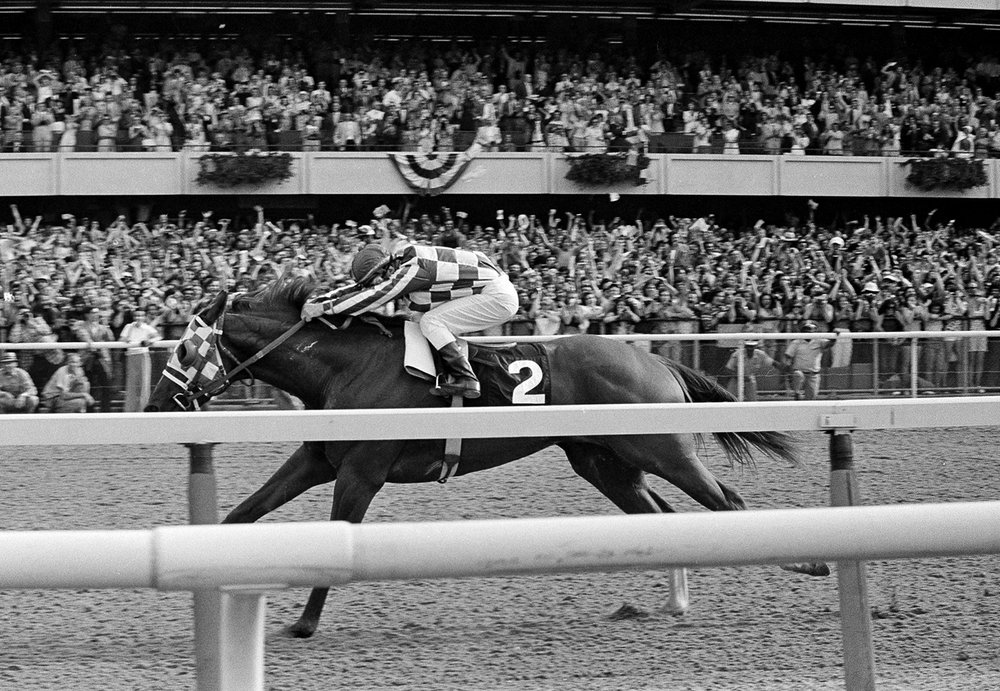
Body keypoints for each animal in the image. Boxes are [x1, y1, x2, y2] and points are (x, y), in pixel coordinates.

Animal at [143, 278, 828, 636]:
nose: (154, 405)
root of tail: (654, 358)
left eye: (185, 348)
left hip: (662, 451)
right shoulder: (319, 457)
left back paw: (811, 562)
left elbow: (339, 538)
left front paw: (303, 624)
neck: (343, 367)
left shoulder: (361, 471)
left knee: (724, 500)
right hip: (602, 462)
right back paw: (669, 603)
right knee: (662, 519)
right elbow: (241, 515)